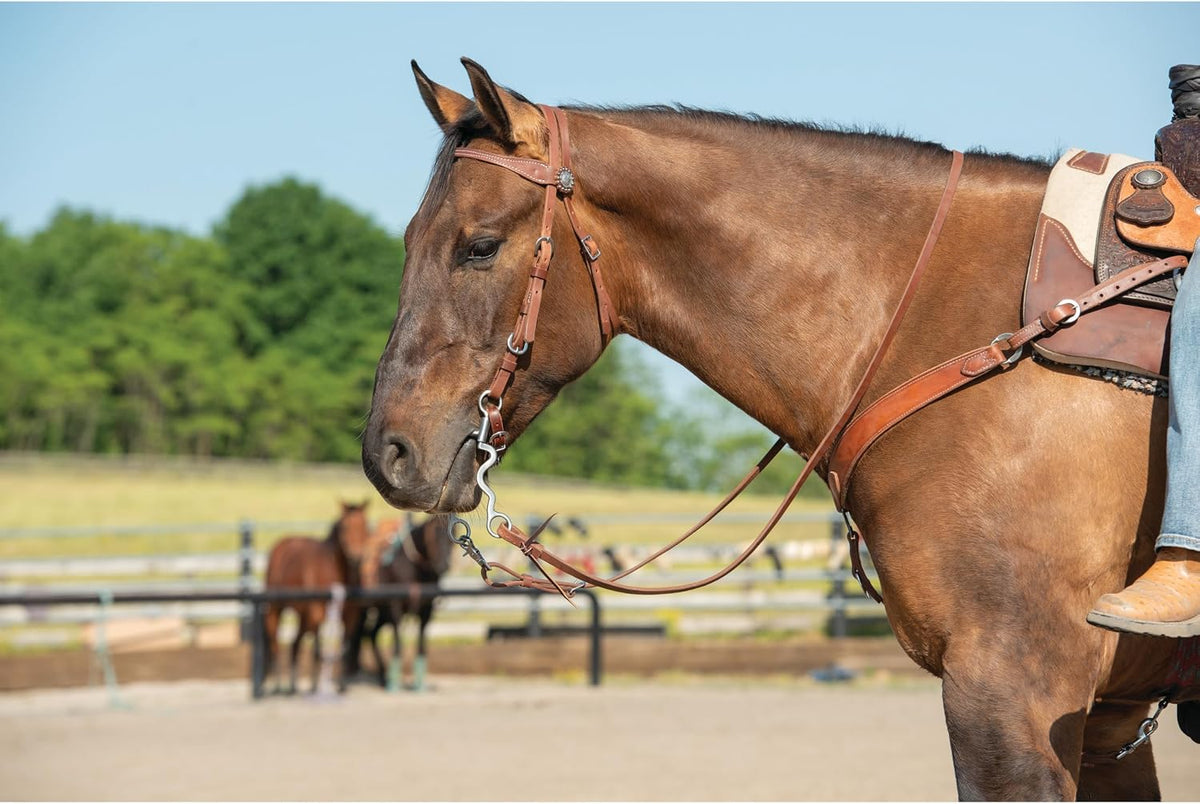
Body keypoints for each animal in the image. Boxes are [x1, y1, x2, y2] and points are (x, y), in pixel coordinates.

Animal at [262, 500, 371, 695]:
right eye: (345, 526)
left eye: (365, 525)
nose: (356, 557)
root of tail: (280, 545)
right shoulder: (317, 613)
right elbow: (317, 650)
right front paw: (315, 687)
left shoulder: (350, 616)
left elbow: (343, 647)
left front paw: (341, 685)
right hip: (277, 608)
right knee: (275, 641)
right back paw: (276, 685)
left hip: (302, 614)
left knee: (295, 643)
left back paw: (293, 686)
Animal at [355, 513, 453, 690]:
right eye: (435, 534)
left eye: (455, 532)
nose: (444, 565)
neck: (414, 566)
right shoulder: (396, 608)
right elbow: (398, 643)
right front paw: (395, 685)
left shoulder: (426, 611)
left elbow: (421, 645)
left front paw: (419, 686)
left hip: (382, 613)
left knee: (371, 634)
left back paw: (382, 675)